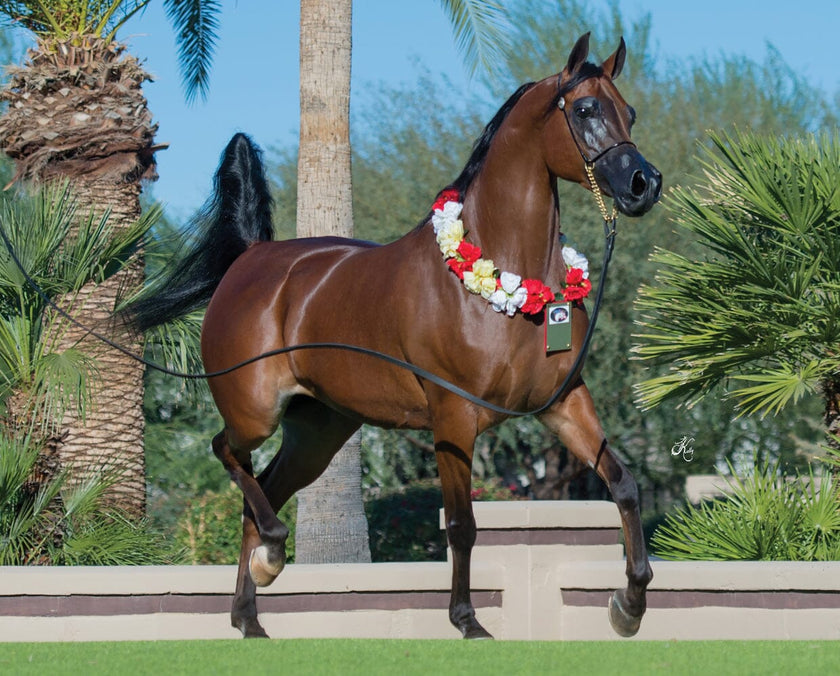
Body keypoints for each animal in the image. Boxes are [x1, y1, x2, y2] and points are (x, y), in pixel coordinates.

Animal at [129, 33, 661, 640]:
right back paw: (272, 555)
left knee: (260, 492)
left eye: (629, 112)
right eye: (586, 109)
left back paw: (250, 614)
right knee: (228, 455)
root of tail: (252, 259)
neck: (502, 279)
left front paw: (629, 605)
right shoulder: (453, 417)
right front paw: (468, 622)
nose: (644, 185)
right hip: (254, 411)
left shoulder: (564, 403)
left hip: (317, 432)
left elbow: (623, 484)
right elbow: (462, 524)